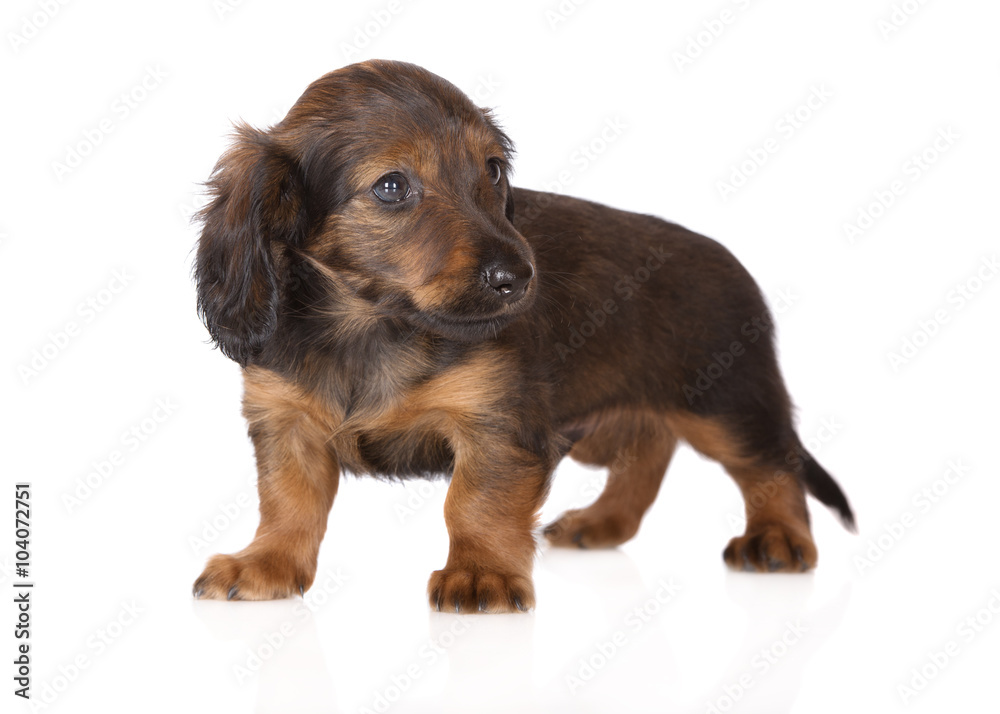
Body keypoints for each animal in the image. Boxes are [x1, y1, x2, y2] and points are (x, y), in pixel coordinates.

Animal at [191, 59, 856, 612]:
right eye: (391, 186)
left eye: (492, 169)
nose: (519, 278)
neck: (373, 326)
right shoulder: (285, 421)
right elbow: (288, 501)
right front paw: (267, 564)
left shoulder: (500, 426)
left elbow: (473, 503)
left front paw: (480, 573)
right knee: (648, 450)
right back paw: (602, 522)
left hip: (723, 403)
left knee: (773, 464)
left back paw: (778, 539)